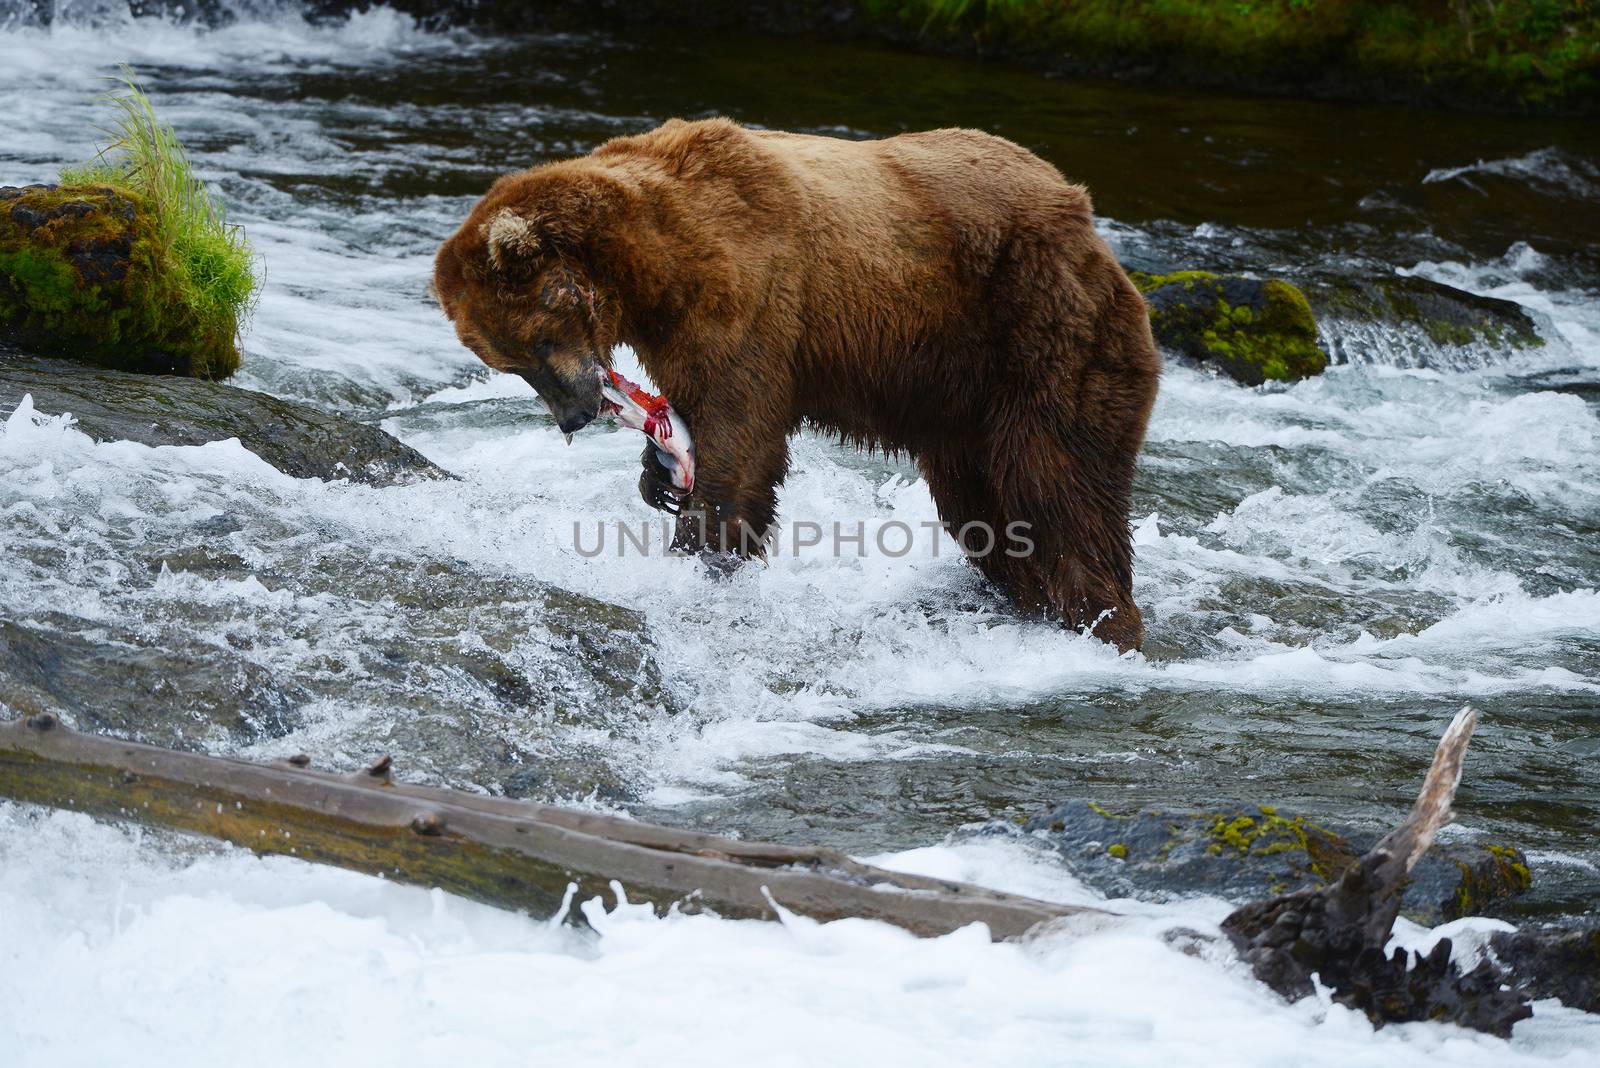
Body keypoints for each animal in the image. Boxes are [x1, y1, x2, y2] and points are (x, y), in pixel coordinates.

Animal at [438, 117, 1158, 652]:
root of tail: (1086, 219)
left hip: (1035, 327)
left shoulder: (747, 291)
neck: (649, 267)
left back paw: (1104, 621)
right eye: (510, 362)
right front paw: (659, 475)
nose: (575, 415)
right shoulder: (677, 330)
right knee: (983, 506)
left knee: (1058, 480)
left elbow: (740, 435)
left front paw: (703, 548)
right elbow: (694, 408)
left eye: (537, 343)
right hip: (957, 395)